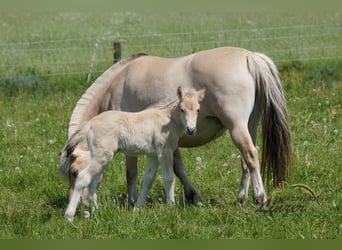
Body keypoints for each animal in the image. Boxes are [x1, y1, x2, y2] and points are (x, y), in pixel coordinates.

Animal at [60, 87, 206, 222]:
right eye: (182, 109)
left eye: (198, 110)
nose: (191, 130)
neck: (167, 119)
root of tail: (89, 124)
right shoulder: (165, 152)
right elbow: (169, 177)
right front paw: (171, 207)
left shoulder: (153, 155)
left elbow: (148, 179)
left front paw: (137, 207)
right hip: (102, 156)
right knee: (84, 178)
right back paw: (69, 216)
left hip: (100, 157)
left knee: (93, 181)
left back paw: (96, 211)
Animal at [61, 46, 292, 207]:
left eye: (74, 173)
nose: (76, 203)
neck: (116, 85)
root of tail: (249, 57)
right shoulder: (169, 142)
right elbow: (178, 168)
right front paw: (193, 196)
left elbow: (131, 172)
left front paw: (131, 201)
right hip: (249, 124)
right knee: (246, 159)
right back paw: (242, 198)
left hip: (237, 126)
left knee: (251, 155)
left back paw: (260, 197)